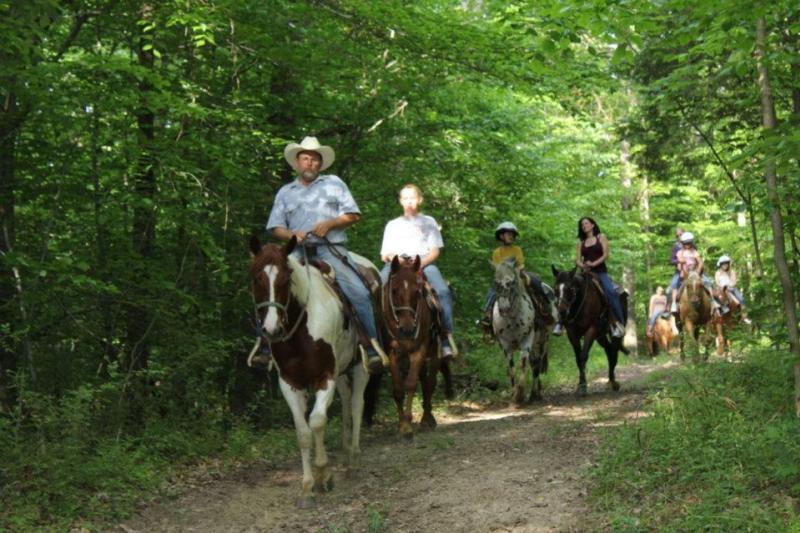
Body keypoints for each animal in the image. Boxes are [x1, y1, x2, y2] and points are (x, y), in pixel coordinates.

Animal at [248, 236, 374, 508]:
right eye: (255, 278)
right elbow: (303, 432)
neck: (301, 331)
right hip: (341, 371)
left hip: (359, 365)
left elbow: (317, 421)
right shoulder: (289, 382)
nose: (271, 329)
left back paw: (354, 456)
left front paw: (323, 473)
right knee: (346, 400)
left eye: (286, 279)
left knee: (357, 404)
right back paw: (345, 452)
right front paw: (306, 487)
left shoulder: (324, 377)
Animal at [384, 255, 454, 436]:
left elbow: (411, 384)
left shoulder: (418, 350)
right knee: (424, 380)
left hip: (434, 351)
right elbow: (398, 389)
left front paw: (408, 425)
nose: (407, 328)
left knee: (430, 383)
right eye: (394, 290)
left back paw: (427, 419)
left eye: (417, 291)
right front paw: (401, 424)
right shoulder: (392, 352)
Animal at [494, 258, 552, 404]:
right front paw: (514, 393)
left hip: (542, 342)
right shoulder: (505, 345)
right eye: (495, 282)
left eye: (512, 282)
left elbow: (523, 364)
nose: (503, 308)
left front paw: (519, 394)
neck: (512, 320)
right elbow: (511, 369)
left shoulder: (526, 342)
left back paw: (534, 394)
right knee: (534, 363)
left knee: (536, 365)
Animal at [552, 266, 628, 394]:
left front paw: (583, 386)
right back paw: (610, 381)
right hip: (600, 336)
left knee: (614, 350)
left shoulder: (591, 330)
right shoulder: (572, 334)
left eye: (570, 288)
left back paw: (613, 383)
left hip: (613, 333)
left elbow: (583, 356)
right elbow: (578, 359)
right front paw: (581, 384)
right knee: (609, 350)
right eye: (555, 288)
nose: (562, 312)